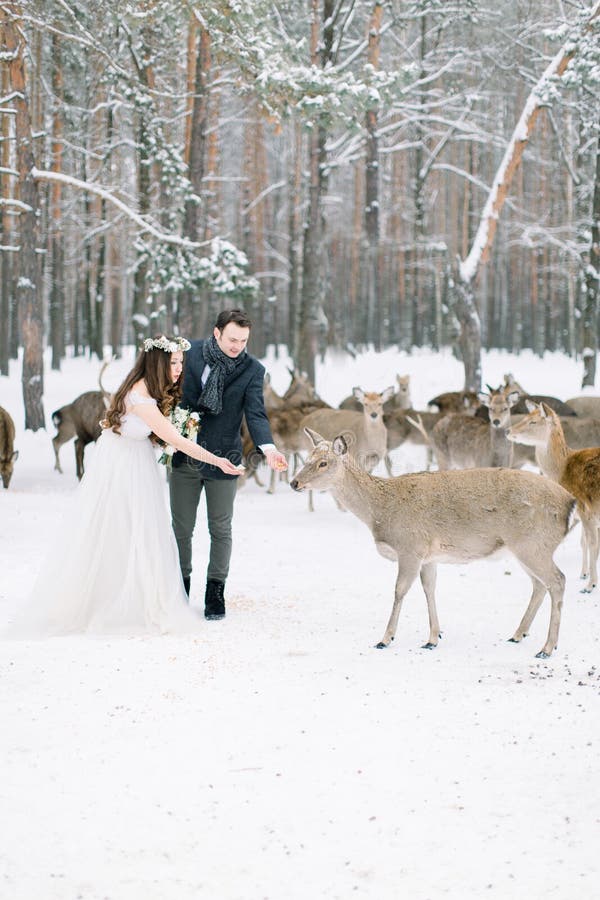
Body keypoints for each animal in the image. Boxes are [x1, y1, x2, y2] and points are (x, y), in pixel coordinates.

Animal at [290, 426, 576, 656]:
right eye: (307, 458)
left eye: (323, 463)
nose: (294, 482)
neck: (380, 511)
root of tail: (570, 503)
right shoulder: (428, 556)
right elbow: (429, 588)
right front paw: (433, 638)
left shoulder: (410, 547)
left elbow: (399, 590)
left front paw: (385, 638)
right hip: (525, 548)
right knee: (539, 585)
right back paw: (518, 634)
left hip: (533, 544)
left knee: (558, 580)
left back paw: (547, 647)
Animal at [508, 404, 600, 596]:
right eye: (526, 416)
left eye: (533, 421)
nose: (508, 430)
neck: (561, 471)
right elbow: (586, 543)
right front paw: (584, 575)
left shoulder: (586, 510)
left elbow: (592, 544)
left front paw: (590, 586)